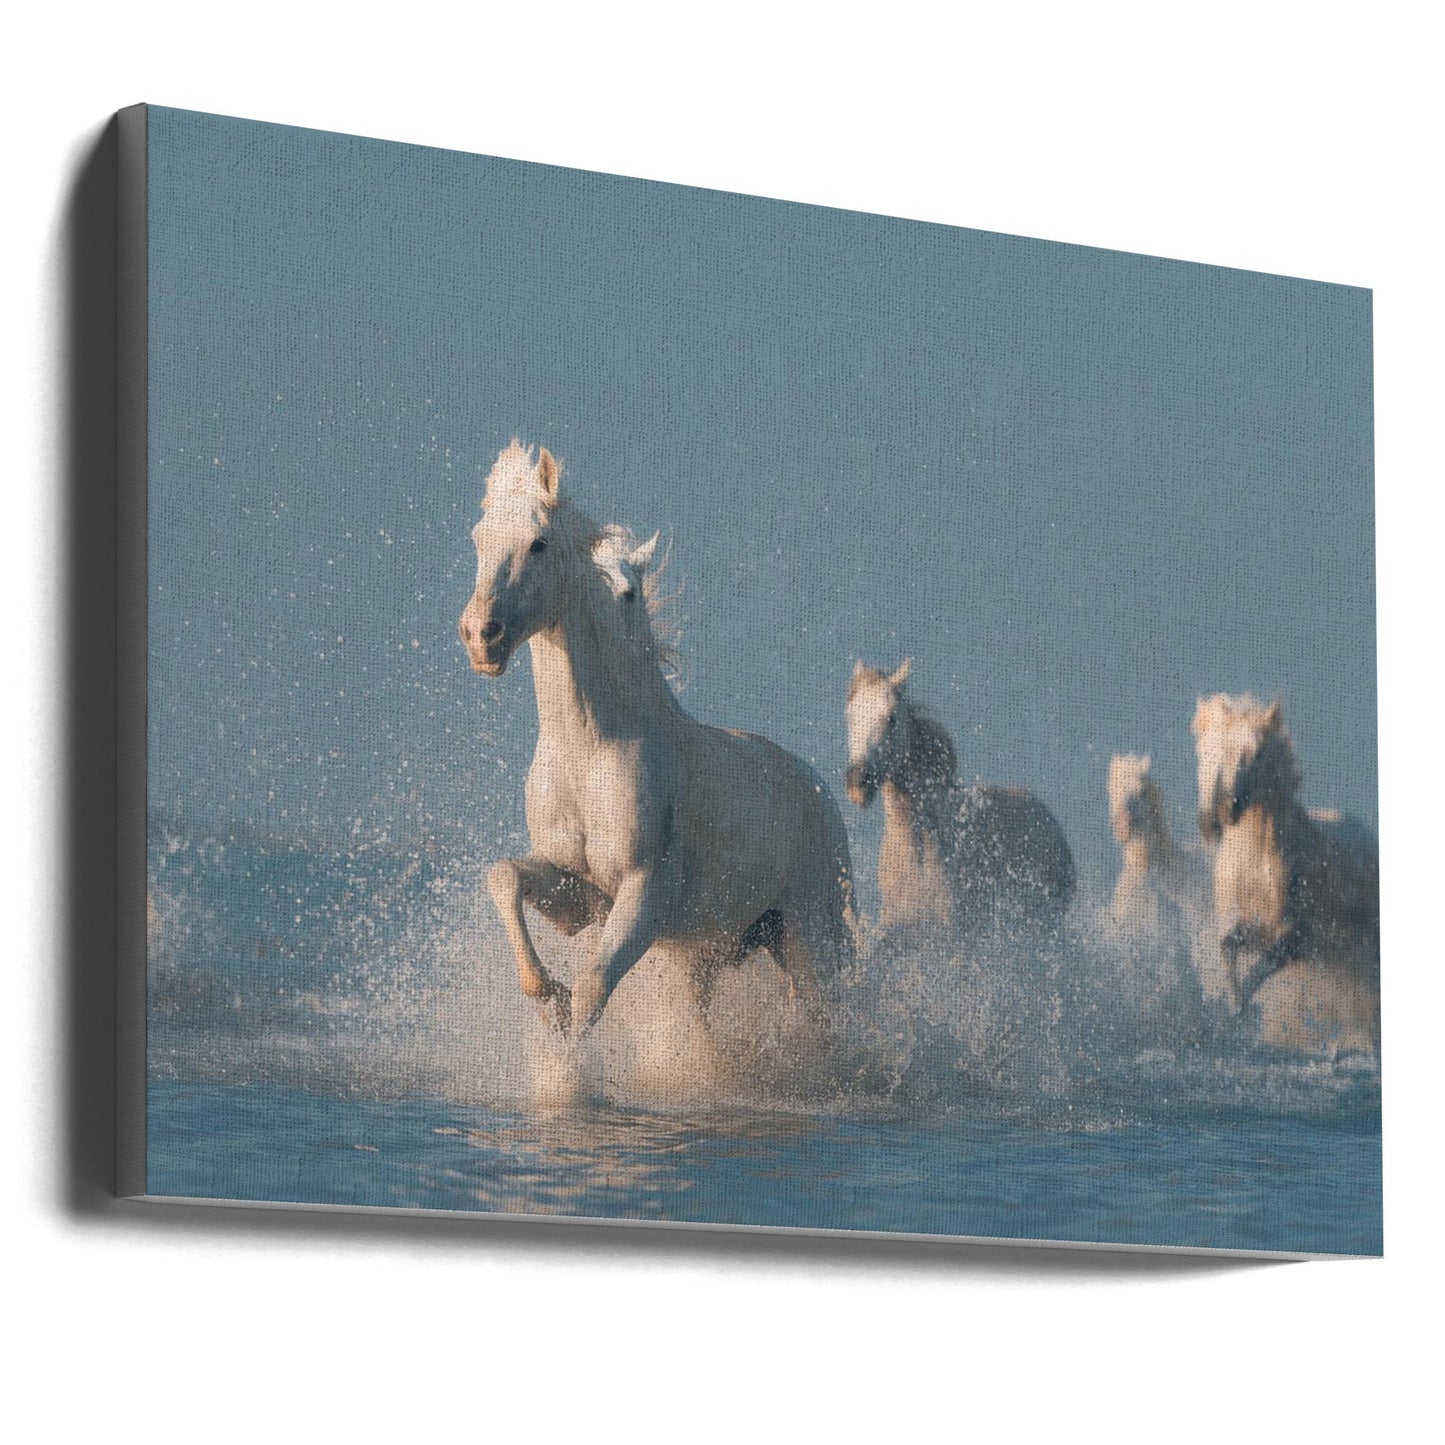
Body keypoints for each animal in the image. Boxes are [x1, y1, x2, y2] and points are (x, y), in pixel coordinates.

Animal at [459, 441, 857, 1036]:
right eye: (479, 537)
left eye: (538, 543)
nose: (482, 637)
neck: (591, 750)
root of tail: (819, 789)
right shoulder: (579, 895)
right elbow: (505, 876)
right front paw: (544, 992)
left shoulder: (644, 895)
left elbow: (592, 990)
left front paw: (569, 1036)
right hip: (709, 953)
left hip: (811, 940)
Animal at [1191, 693, 1379, 1053]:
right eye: (1206, 751)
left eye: (1256, 752)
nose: (1216, 817)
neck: (1253, 862)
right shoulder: (1248, 926)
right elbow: (1228, 947)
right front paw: (1234, 1008)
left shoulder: (1295, 938)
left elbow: (1261, 967)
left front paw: (1241, 1011)